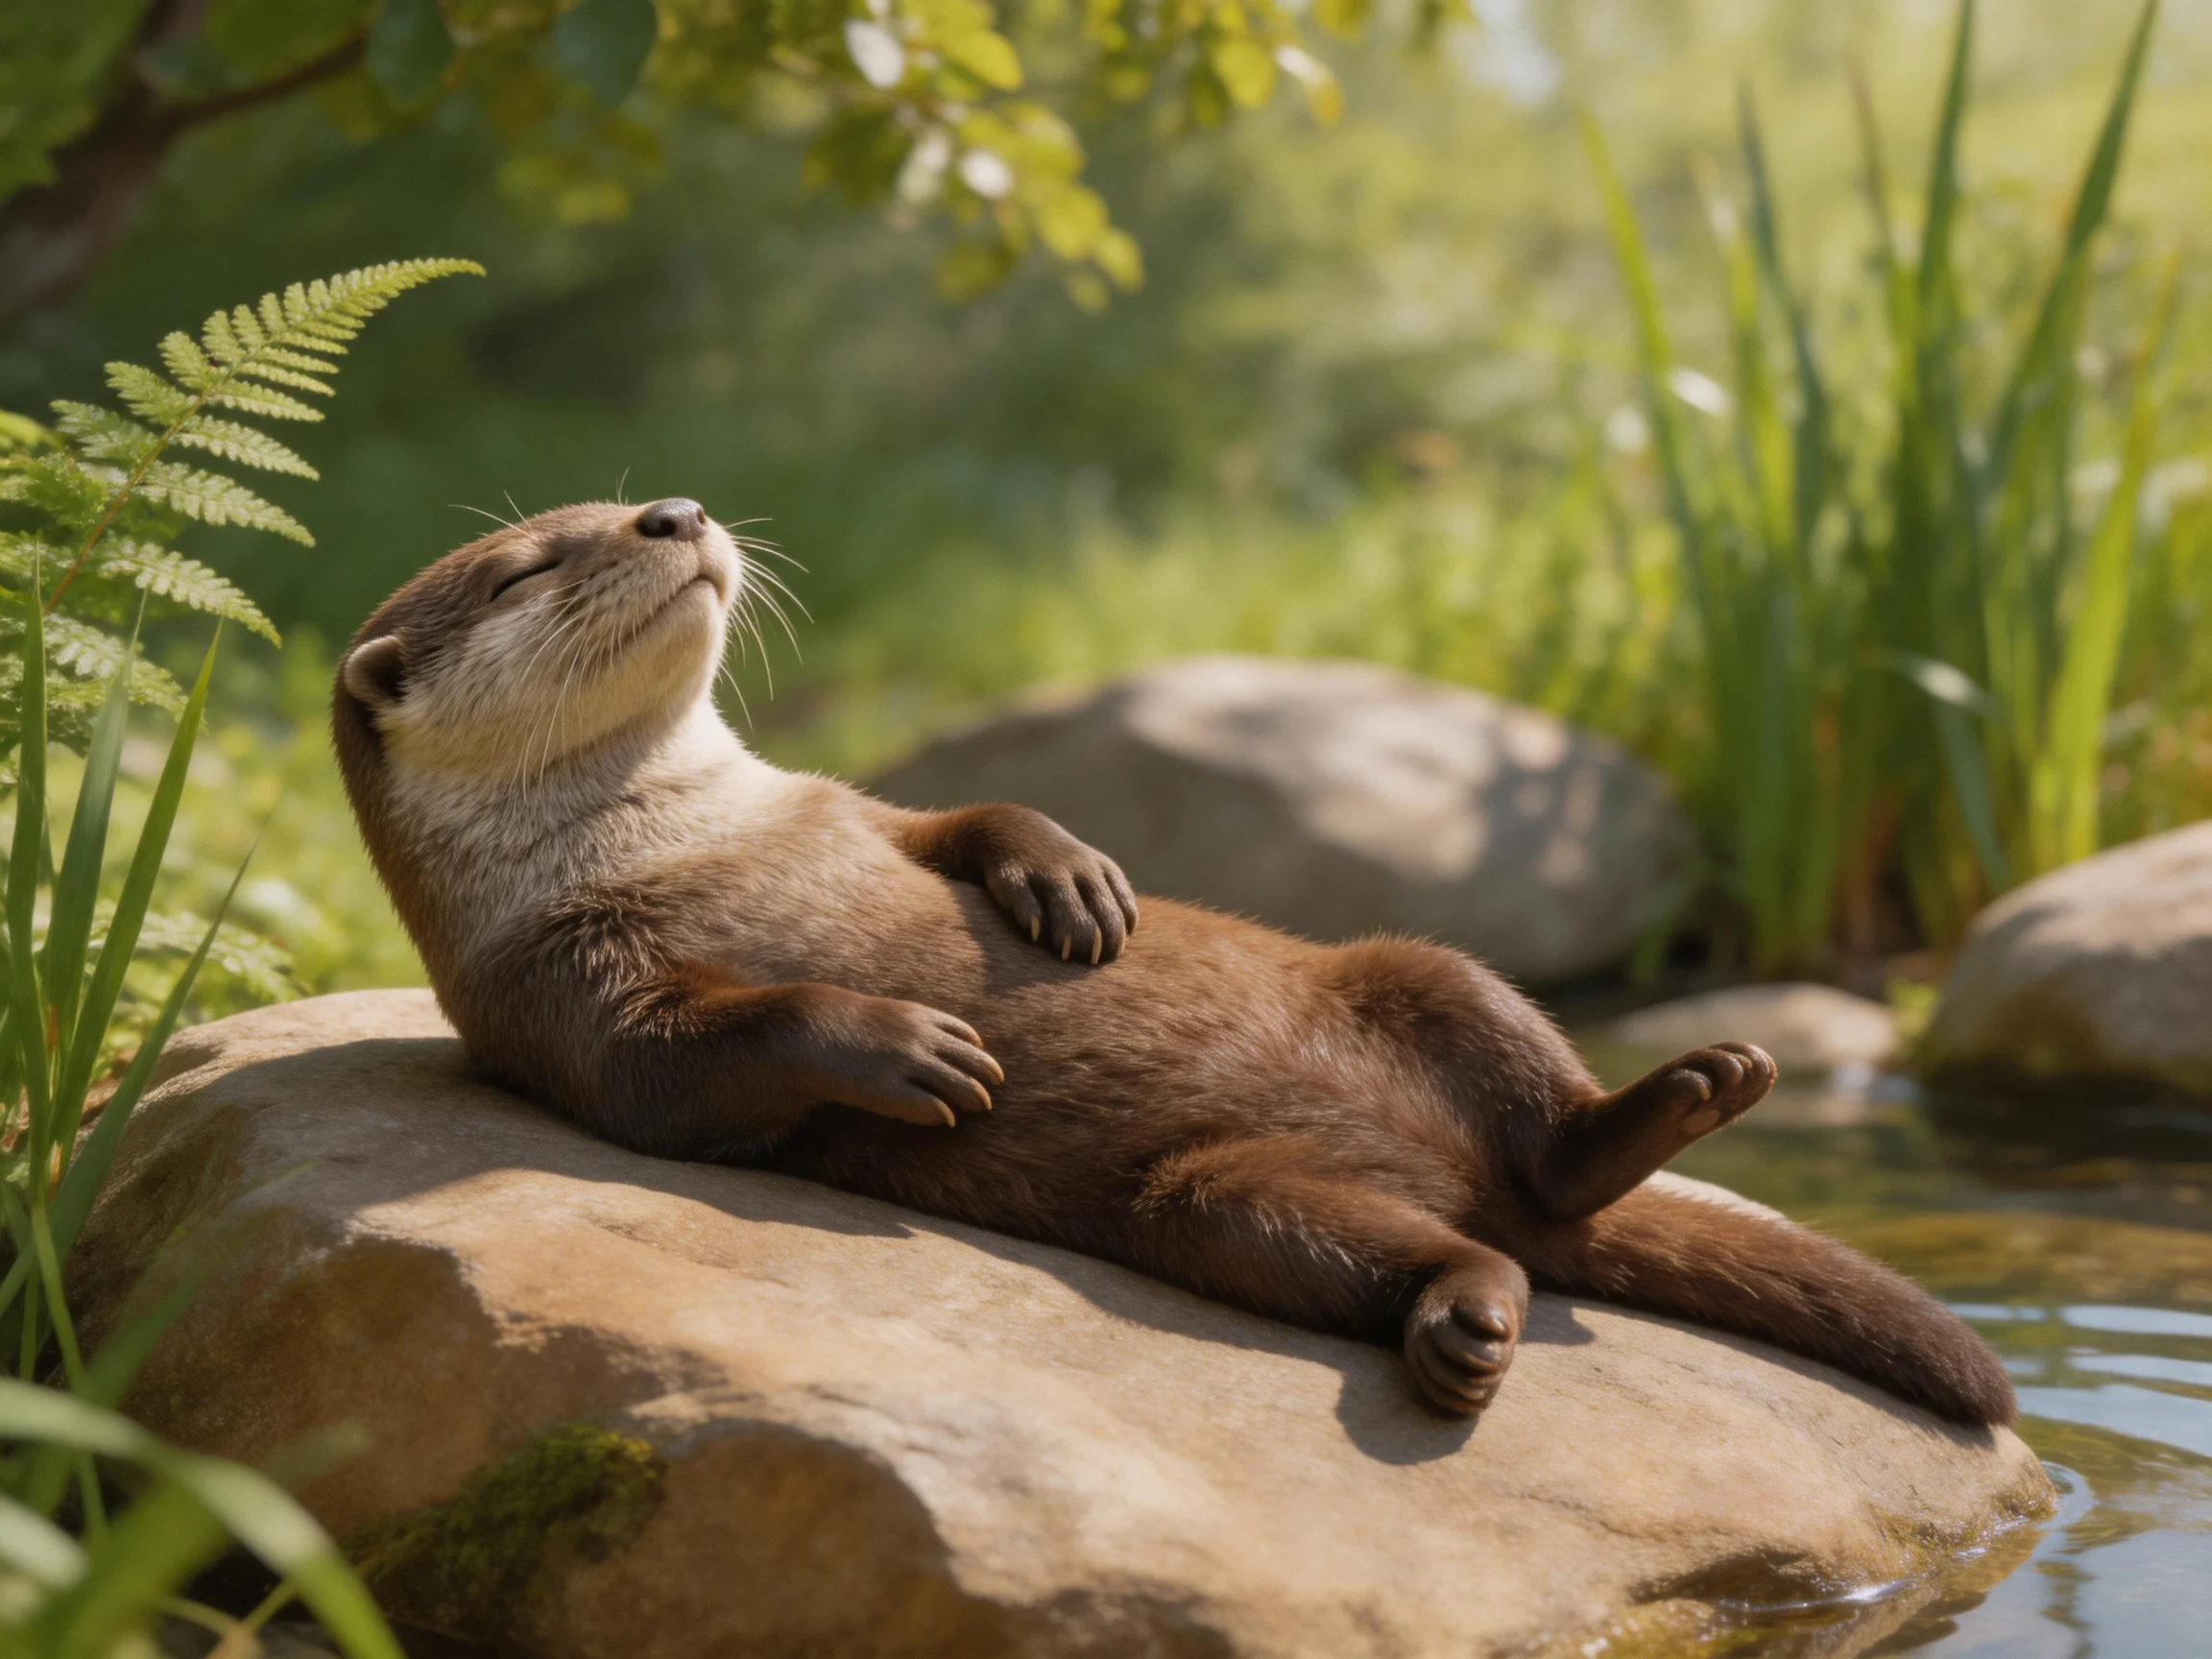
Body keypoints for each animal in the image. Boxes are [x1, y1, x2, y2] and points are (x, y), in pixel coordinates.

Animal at [332, 498, 2014, 1426]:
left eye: (632, 505)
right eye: (527, 566)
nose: (675, 513)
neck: (684, 834)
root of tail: (1469, 1187)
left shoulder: (850, 809)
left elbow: (968, 818)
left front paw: (1070, 878)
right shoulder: (557, 1001)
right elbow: (690, 1066)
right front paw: (907, 1044)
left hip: (1417, 971)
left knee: (1535, 1109)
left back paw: (1686, 1095)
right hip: (1214, 1202)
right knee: (1448, 1243)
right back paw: (1470, 1318)